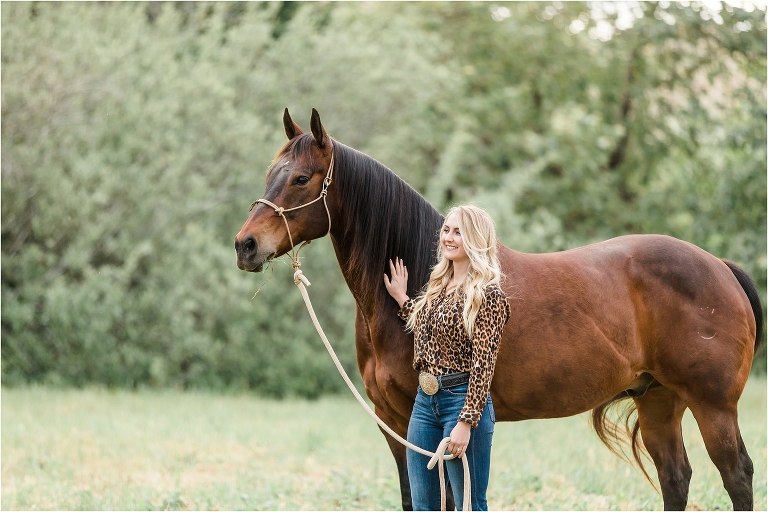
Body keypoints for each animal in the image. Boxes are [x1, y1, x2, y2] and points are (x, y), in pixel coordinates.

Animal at [235, 108, 762, 511]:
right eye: (271, 175)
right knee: (676, 477)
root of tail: (719, 267)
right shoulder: (396, 425)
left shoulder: (434, 431)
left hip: (712, 406)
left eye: (301, 178)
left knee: (737, 475)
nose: (245, 245)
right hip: (658, 399)